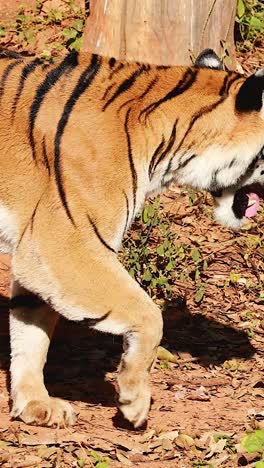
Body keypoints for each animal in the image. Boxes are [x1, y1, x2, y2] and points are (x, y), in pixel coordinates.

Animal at [0, 45, 262, 430]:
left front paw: (35, 403)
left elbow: (30, 330)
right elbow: (150, 315)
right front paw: (133, 400)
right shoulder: (64, 246)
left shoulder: (36, 253)